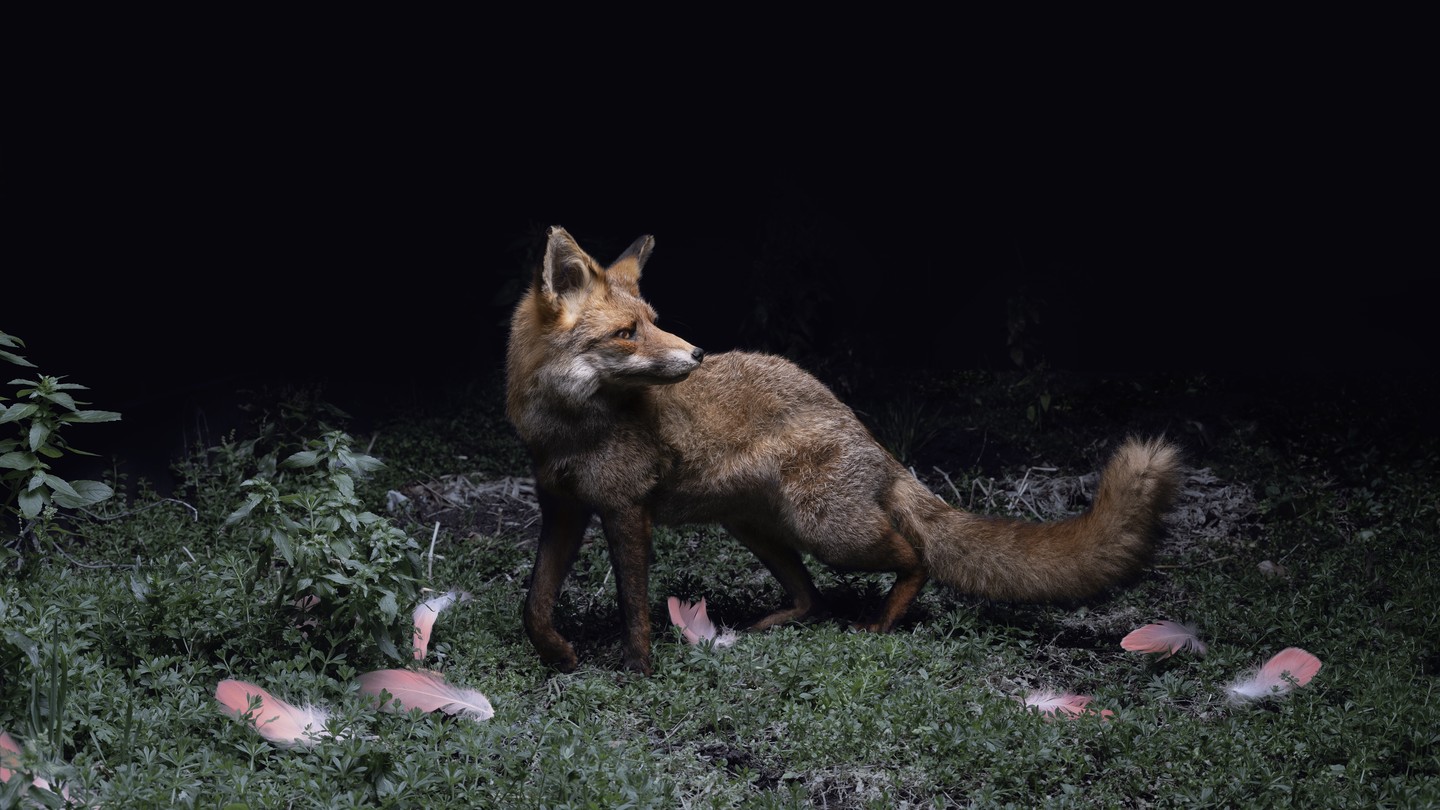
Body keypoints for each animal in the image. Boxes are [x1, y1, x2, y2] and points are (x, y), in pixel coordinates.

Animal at [506, 223, 1180, 671]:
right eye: (627, 332)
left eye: (652, 319)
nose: (696, 354)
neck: (568, 429)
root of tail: (874, 442)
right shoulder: (563, 508)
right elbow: (534, 606)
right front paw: (560, 656)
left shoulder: (626, 511)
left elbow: (635, 610)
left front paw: (639, 671)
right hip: (756, 529)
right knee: (812, 597)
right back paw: (779, 622)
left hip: (829, 531)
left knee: (916, 558)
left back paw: (880, 620)